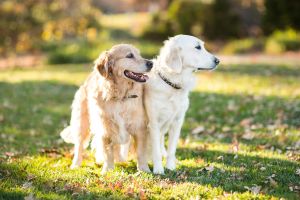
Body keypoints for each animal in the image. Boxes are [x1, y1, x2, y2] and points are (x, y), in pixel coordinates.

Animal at [145, 35, 220, 174]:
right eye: (197, 47)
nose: (218, 60)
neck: (172, 83)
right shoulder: (154, 123)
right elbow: (155, 151)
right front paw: (158, 169)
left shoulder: (177, 122)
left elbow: (171, 149)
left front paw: (170, 166)